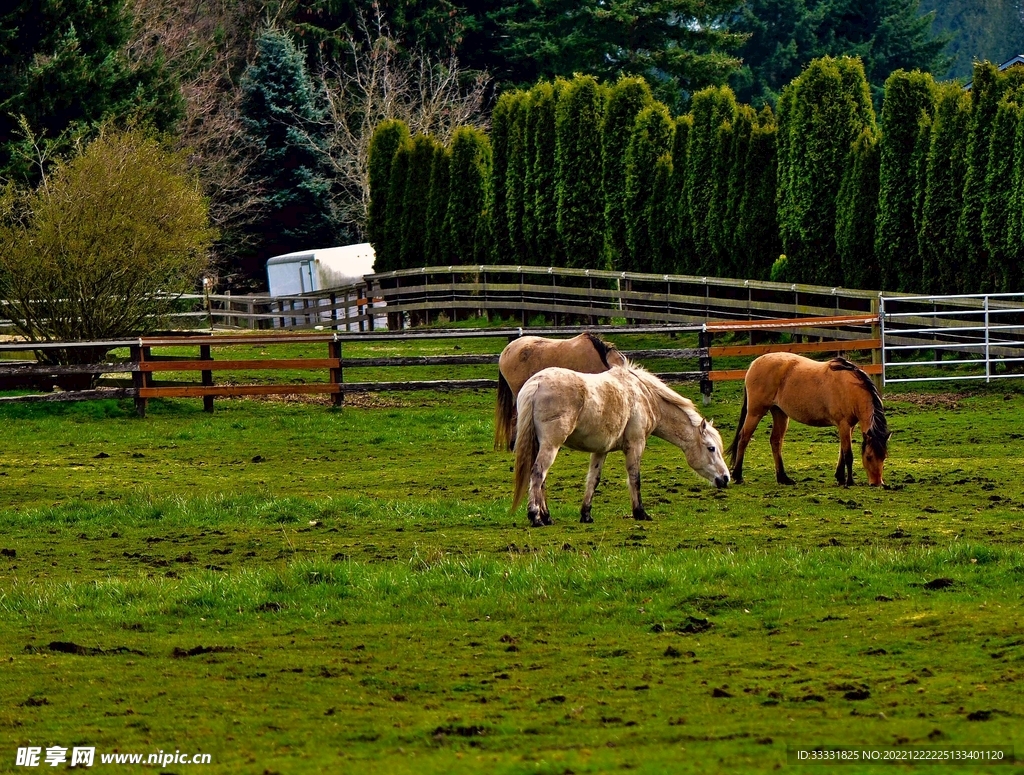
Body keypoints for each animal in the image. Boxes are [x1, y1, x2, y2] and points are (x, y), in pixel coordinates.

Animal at [511, 362, 730, 527]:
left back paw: (547, 516)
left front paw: (586, 514)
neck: (645, 396)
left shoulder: (600, 451)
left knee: (541, 479)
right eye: (711, 448)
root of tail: (537, 383)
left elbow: (593, 480)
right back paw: (536, 517)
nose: (725, 478)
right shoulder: (636, 445)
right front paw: (640, 513)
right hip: (551, 446)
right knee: (538, 474)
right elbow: (635, 478)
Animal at [726, 353, 891, 487]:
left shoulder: (849, 426)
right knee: (743, 438)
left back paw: (783, 478)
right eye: (869, 457)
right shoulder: (843, 424)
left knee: (775, 441)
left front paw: (840, 477)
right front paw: (849, 481)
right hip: (755, 412)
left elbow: (842, 453)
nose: (877, 483)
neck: (850, 387)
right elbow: (848, 455)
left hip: (780, 413)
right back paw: (738, 476)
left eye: (884, 457)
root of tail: (754, 364)